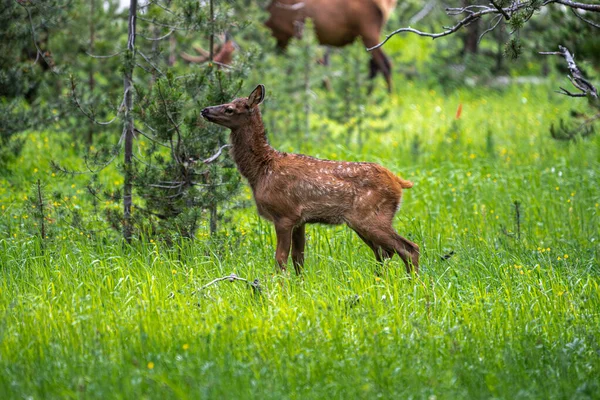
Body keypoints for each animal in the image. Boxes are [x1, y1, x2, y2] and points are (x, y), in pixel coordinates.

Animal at [202, 85, 418, 276]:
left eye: (229, 108)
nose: (205, 110)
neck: (261, 171)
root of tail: (398, 182)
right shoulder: (300, 220)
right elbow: (298, 259)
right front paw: (299, 286)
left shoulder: (284, 214)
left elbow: (280, 259)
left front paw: (280, 288)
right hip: (362, 222)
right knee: (385, 252)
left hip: (371, 216)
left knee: (408, 248)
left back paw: (414, 283)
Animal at [264, 0, 396, 91]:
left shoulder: (295, 39)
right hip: (369, 35)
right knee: (374, 66)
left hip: (368, 31)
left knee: (385, 64)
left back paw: (389, 99)